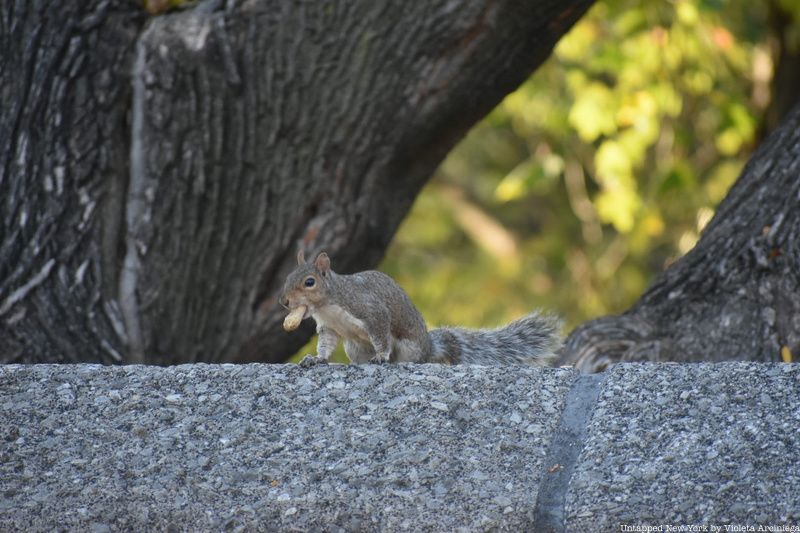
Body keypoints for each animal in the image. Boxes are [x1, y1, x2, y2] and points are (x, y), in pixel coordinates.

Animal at [278, 251, 560, 364]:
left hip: (409, 349)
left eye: (309, 282)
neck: (329, 304)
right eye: (287, 277)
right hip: (354, 348)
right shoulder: (329, 328)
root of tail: (428, 347)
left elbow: (381, 335)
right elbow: (326, 345)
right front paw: (316, 359)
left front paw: (381, 356)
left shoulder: (371, 311)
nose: (284, 302)